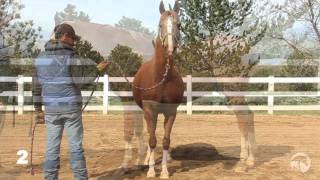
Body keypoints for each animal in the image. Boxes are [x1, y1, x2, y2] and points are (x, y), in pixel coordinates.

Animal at [132, 0, 182, 179]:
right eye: (160, 25)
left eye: (179, 25)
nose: (170, 49)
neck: (162, 77)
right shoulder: (149, 110)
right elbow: (152, 139)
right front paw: (152, 170)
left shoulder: (171, 112)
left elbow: (166, 141)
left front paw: (165, 171)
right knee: (149, 134)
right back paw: (147, 161)